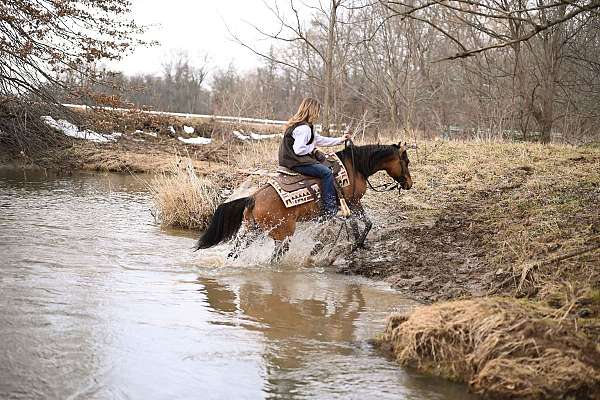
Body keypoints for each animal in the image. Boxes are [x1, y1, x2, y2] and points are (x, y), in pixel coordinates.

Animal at [197, 143, 412, 262]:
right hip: (282, 235)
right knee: (275, 257)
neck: (355, 166)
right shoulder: (353, 202)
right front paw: (356, 245)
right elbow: (366, 224)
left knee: (235, 252)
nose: (409, 183)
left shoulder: (347, 207)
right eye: (407, 162)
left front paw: (356, 245)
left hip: (252, 231)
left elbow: (355, 225)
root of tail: (253, 198)